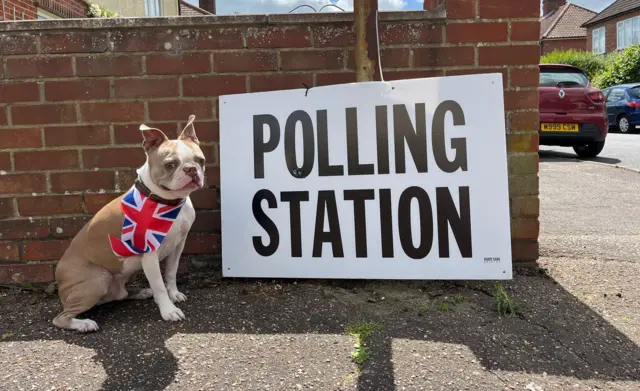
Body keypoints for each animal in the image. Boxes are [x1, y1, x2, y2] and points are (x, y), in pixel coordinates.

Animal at [54, 115, 208, 332]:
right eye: (170, 165)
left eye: (200, 161)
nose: (191, 169)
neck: (165, 201)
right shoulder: (149, 252)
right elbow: (159, 284)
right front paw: (168, 310)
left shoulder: (178, 245)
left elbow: (171, 272)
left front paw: (174, 294)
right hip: (98, 279)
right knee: (61, 318)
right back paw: (83, 323)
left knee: (120, 294)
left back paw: (140, 292)